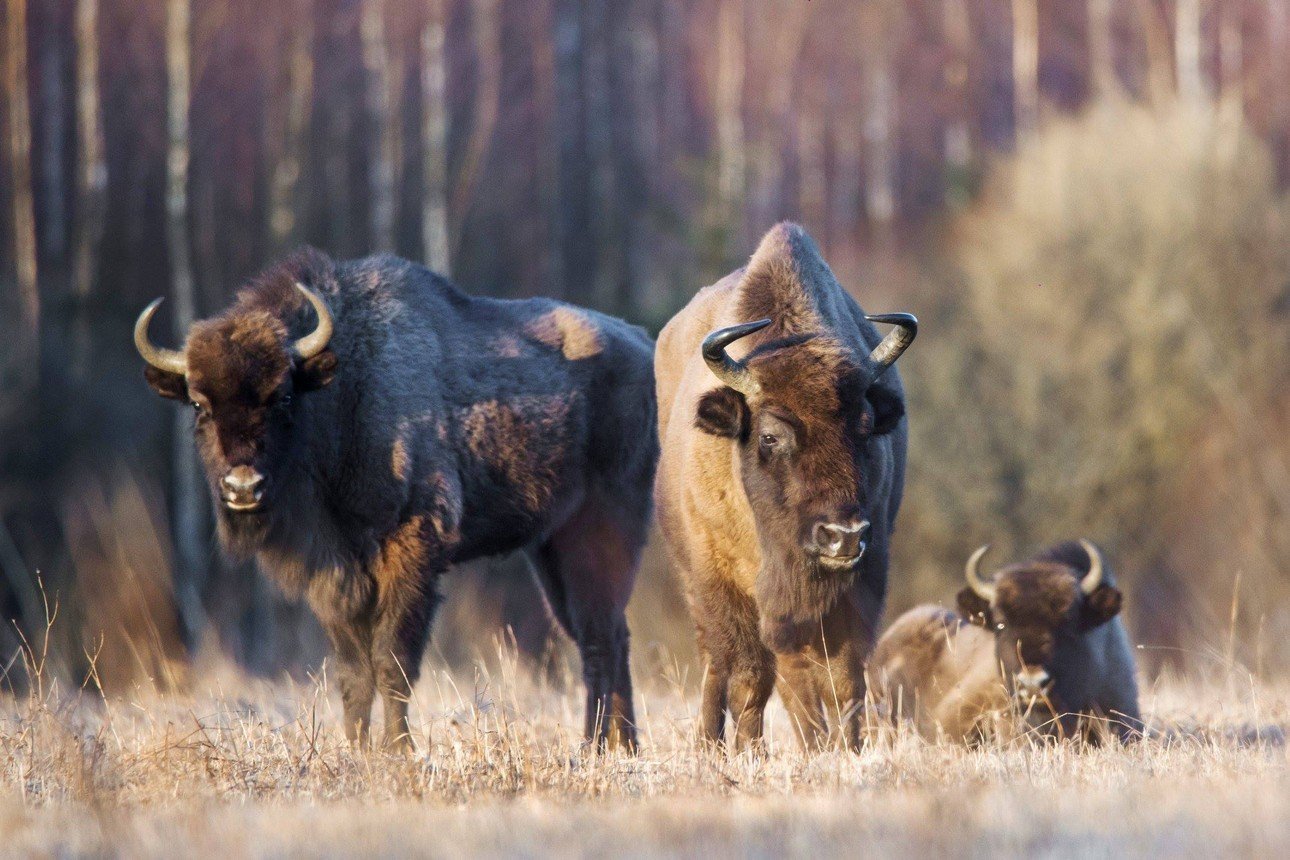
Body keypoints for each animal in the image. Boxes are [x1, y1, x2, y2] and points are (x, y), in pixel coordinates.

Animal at [133, 244, 655, 747]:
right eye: (198, 404)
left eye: (283, 396)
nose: (243, 487)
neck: (343, 392)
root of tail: (644, 346)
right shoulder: (332, 575)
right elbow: (353, 673)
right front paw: (358, 751)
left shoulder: (411, 553)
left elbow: (392, 662)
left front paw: (400, 751)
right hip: (549, 550)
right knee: (603, 635)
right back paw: (616, 746)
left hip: (600, 535)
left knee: (601, 637)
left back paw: (596, 747)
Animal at [655, 224, 918, 752]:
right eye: (770, 436)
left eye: (866, 426)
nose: (842, 536)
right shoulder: (725, 581)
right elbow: (755, 674)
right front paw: (755, 751)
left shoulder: (861, 580)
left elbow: (839, 676)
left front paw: (844, 748)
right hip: (695, 582)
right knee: (720, 664)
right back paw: (714, 743)